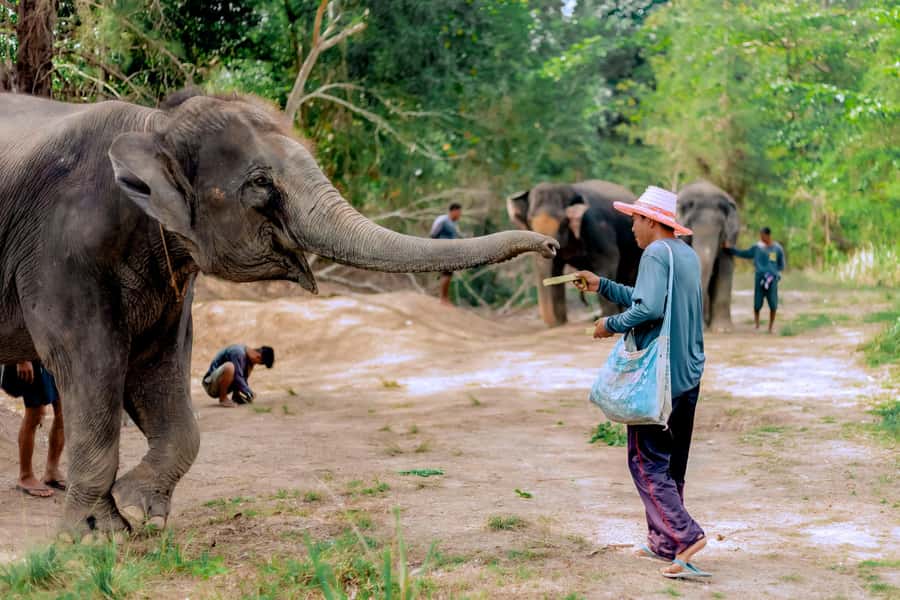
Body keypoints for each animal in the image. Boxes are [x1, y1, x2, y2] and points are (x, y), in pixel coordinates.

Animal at [0, 90, 557, 535]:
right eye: (261, 182)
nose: (551, 246)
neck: (154, 123)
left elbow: (158, 366)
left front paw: (139, 512)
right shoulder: (59, 253)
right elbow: (90, 361)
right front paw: (98, 536)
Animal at [506, 180, 641, 326]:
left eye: (563, 221)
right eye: (530, 220)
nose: (553, 322)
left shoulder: (595, 225)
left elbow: (607, 261)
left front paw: (607, 316)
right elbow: (555, 270)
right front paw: (561, 323)